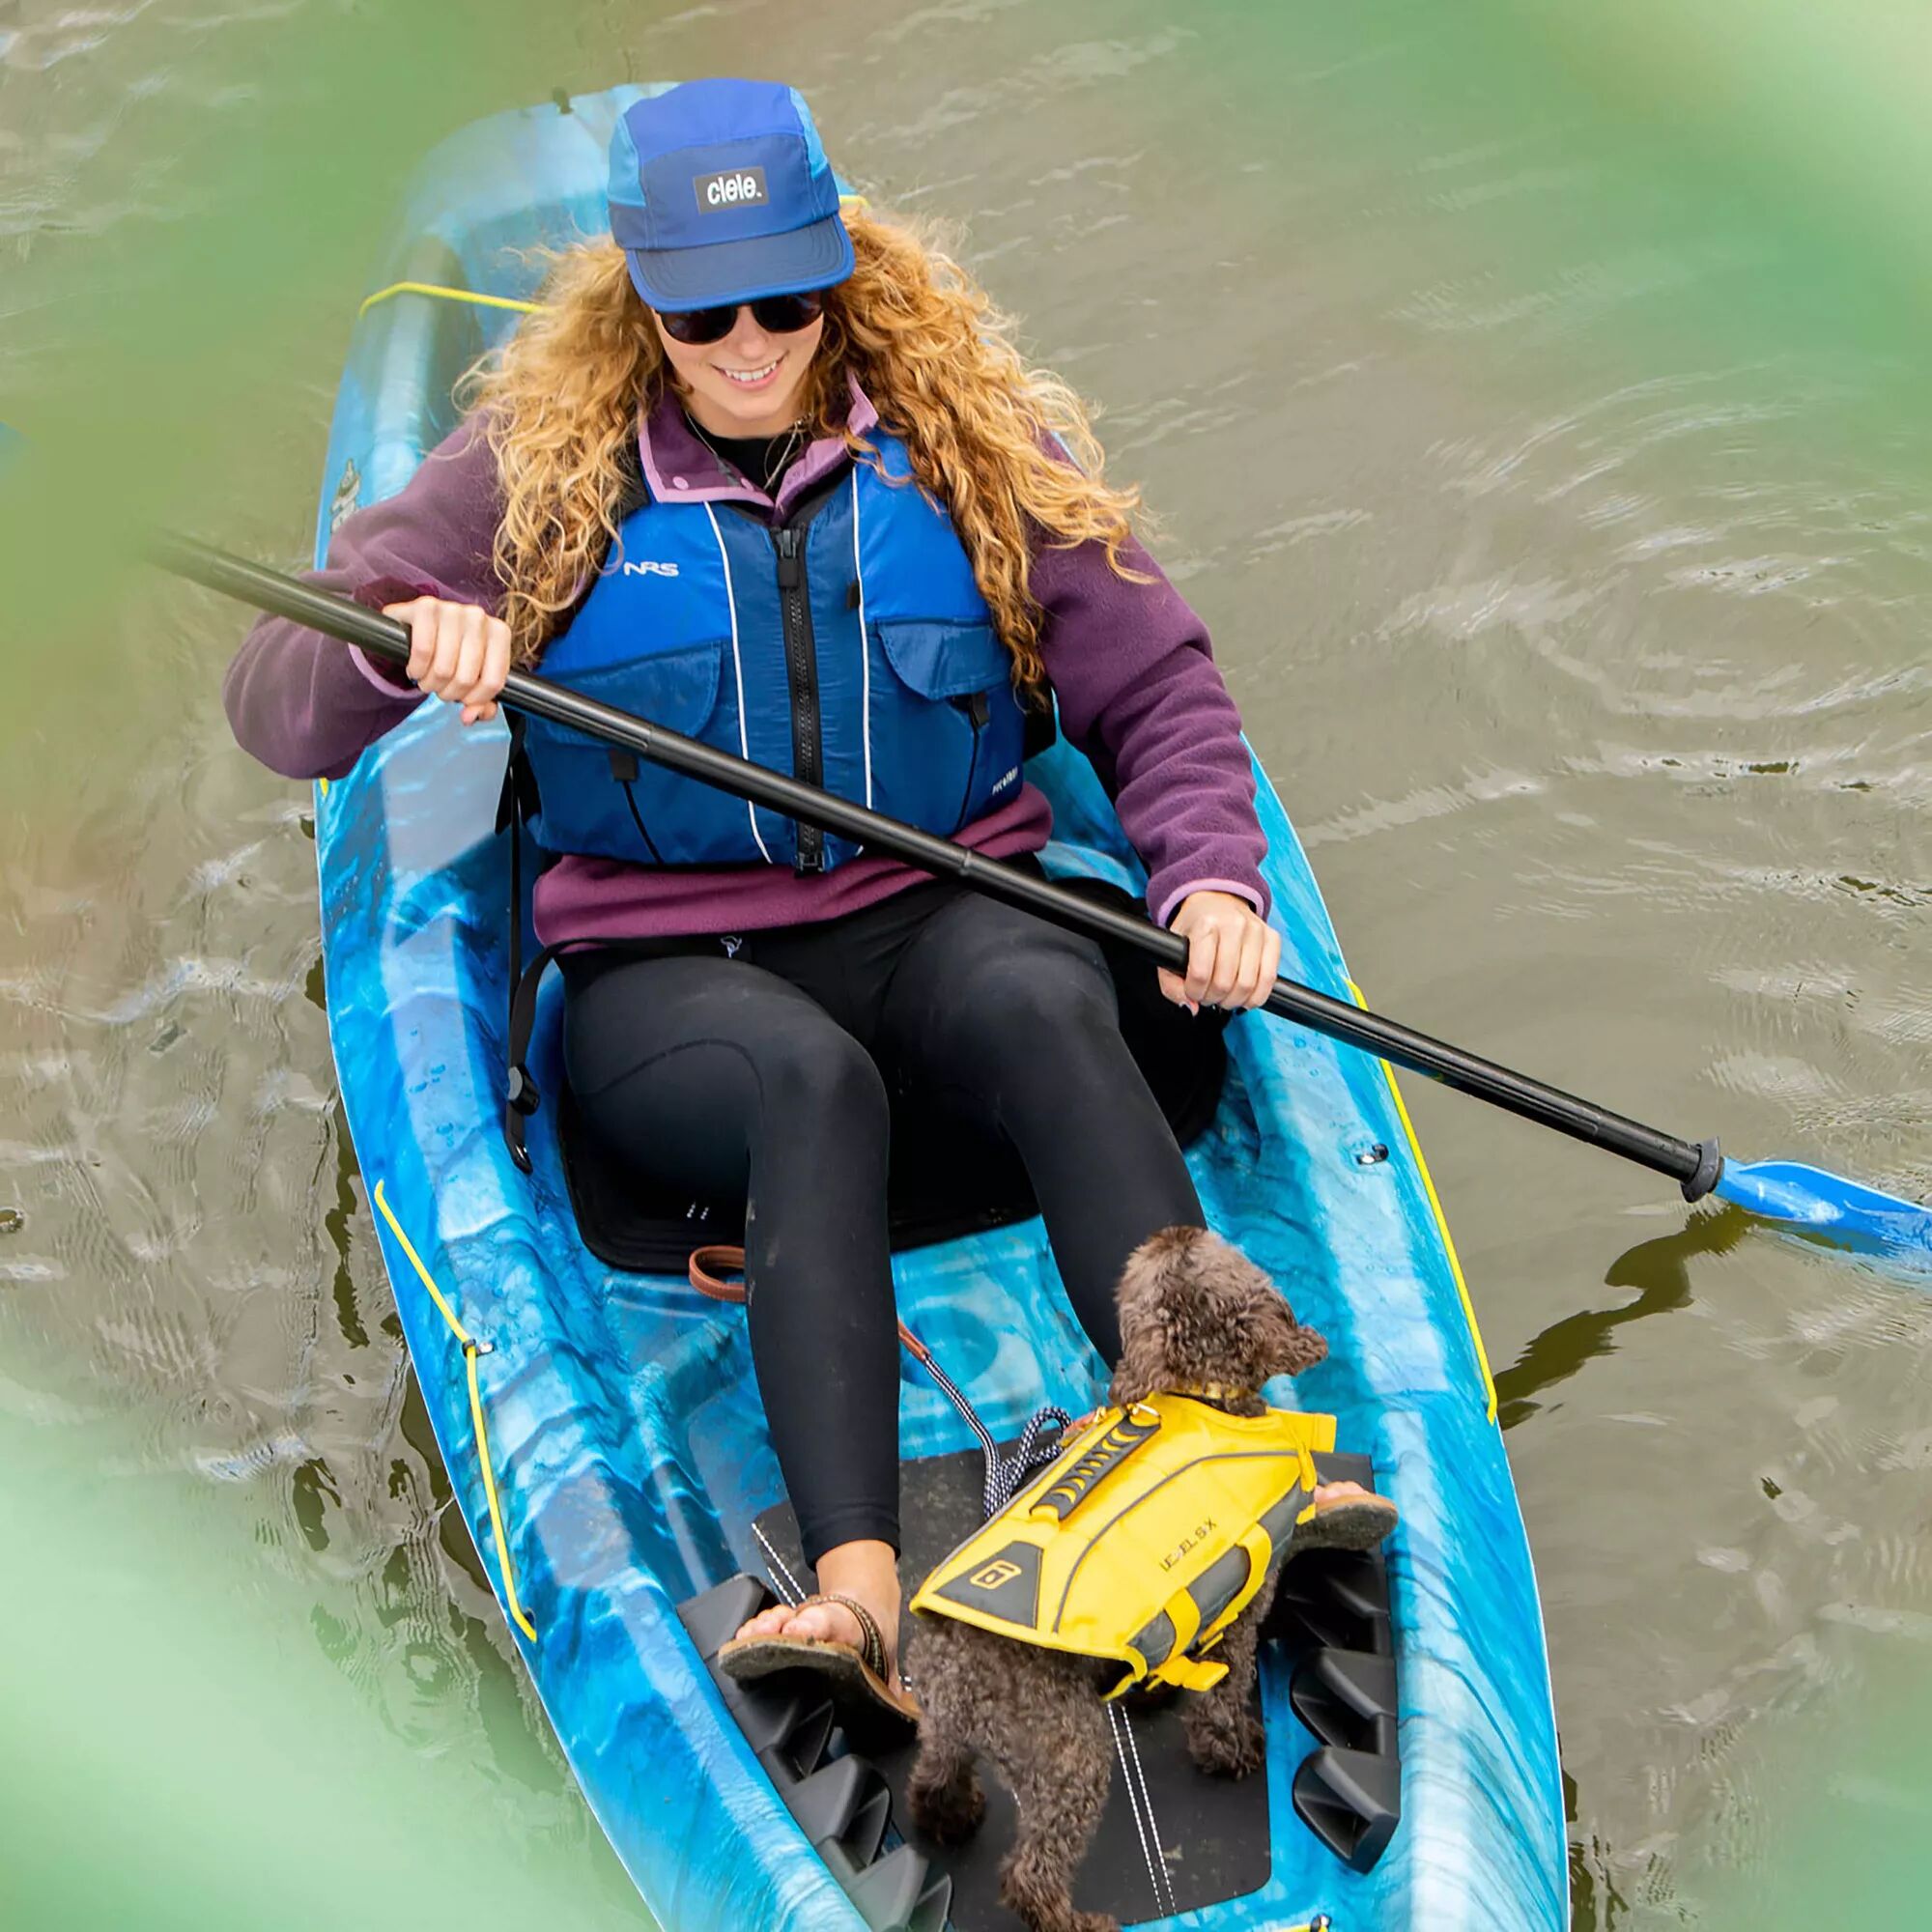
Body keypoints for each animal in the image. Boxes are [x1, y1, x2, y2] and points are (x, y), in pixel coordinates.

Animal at [908, 1229, 1391, 1932]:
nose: (1175, 1231)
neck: (1201, 1394)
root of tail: (954, 1656)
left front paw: (1151, 1697)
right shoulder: (1237, 1614)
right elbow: (1223, 1694)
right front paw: (1233, 1751)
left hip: (947, 1730)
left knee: (931, 1780)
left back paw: (951, 1817)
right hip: (1070, 1757)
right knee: (1031, 1872)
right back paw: (1076, 1920)